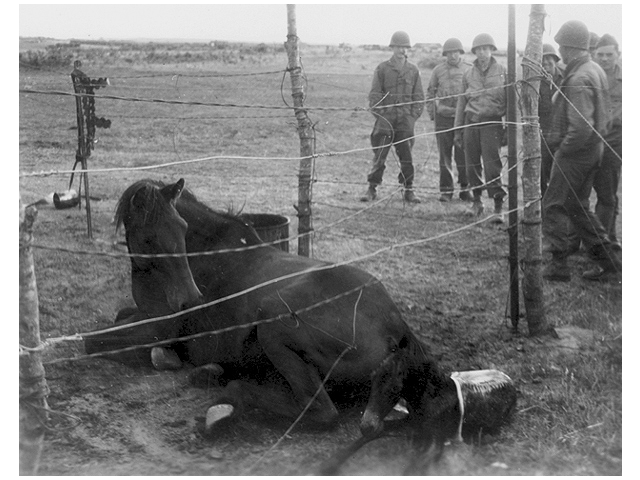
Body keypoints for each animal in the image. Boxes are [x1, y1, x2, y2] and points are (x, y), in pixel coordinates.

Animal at [84, 178, 496, 470]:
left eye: (182, 227)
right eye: (149, 236)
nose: (188, 299)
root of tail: (397, 327)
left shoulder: (157, 327)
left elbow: (92, 341)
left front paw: (165, 358)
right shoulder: (144, 317)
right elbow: (115, 321)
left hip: (274, 324)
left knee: (319, 411)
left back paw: (222, 405)